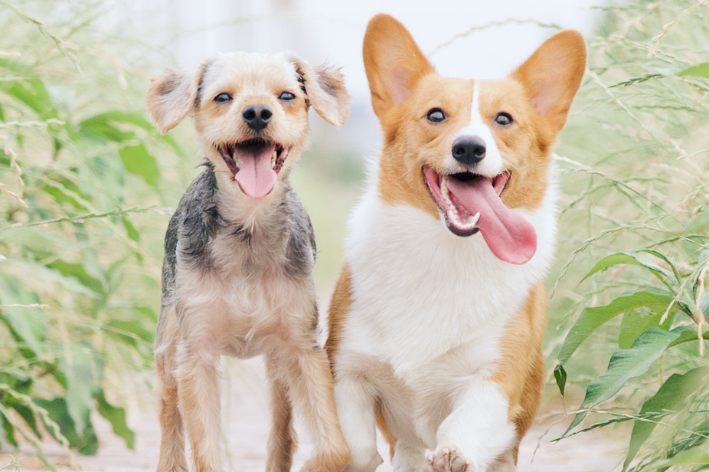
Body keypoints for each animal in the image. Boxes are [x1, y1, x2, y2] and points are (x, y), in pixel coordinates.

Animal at [146, 51, 352, 472]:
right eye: (223, 97)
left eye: (287, 95)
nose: (257, 112)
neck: (248, 229)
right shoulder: (196, 354)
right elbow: (205, 447)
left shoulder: (302, 348)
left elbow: (336, 449)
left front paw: (313, 464)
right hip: (168, 345)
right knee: (169, 413)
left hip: (277, 364)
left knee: (282, 427)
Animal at [324, 13, 584, 472]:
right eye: (435, 115)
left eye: (504, 120)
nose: (468, 148)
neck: (445, 253)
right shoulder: (348, 370)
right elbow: (355, 445)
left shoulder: (494, 377)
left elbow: (464, 421)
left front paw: (453, 452)